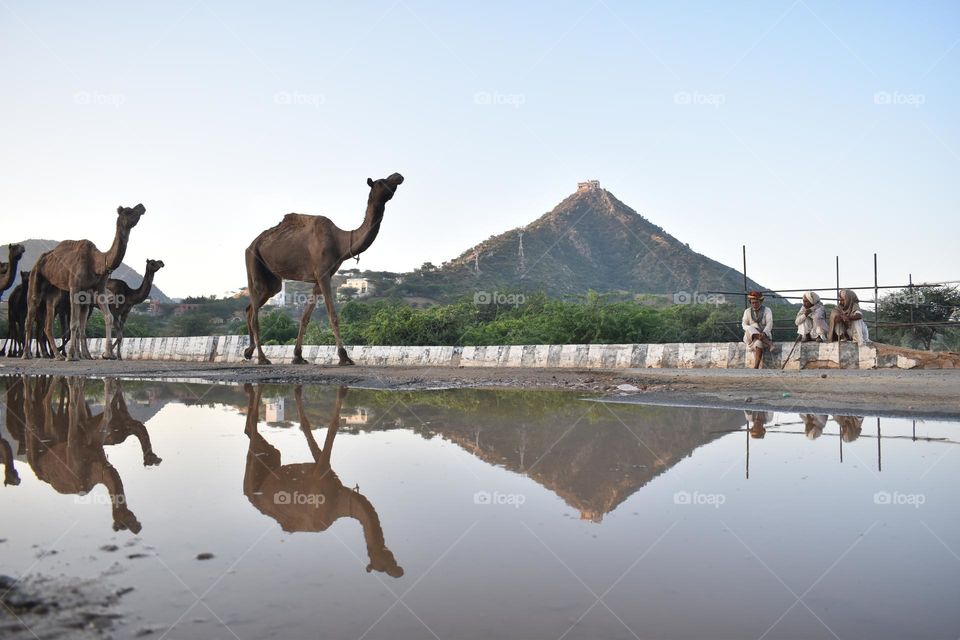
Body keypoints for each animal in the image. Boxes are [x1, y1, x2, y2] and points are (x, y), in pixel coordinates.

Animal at [22, 204, 145, 360]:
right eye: (128, 211)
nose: (141, 207)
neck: (98, 262)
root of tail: (42, 259)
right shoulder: (74, 287)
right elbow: (74, 323)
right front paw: (71, 355)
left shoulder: (98, 289)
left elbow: (108, 317)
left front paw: (107, 354)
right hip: (35, 276)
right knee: (30, 313)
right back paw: (26, 354)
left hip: (53, 291)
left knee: (48, 323)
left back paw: (58, 355)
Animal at [244, 174, 404, 364]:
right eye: (381, 182)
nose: (398, 176)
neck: (341, 242)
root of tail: (251, 244)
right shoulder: (323, 274)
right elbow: (332, 315)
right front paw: (344, 356)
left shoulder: (320, 278)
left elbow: (305, 317)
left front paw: (298, 356)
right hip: (253, 261)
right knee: (255, 315)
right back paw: (262, 358)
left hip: (272, 280)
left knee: (251, 308)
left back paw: (248, 352)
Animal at [244, 384, 404, 580]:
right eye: (381, 564)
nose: (398, 572)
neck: (340, 499)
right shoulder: (322, 473)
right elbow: (328, 426)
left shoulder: (325, 472)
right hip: (255, 471)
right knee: (253, 429)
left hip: (272, 457)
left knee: (253, 433)